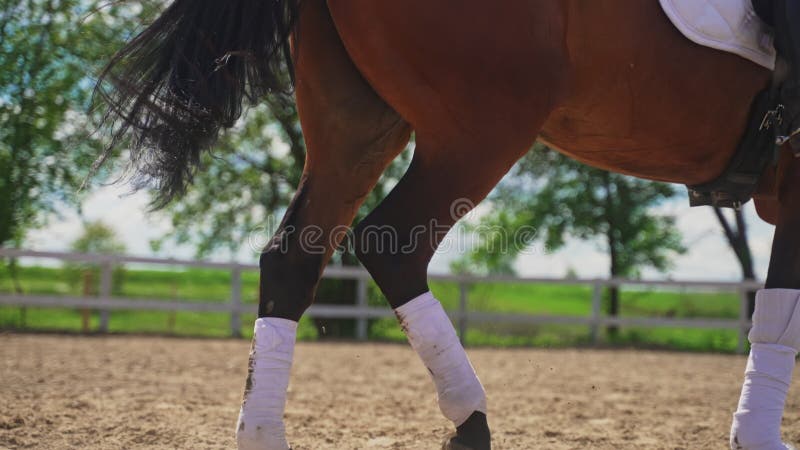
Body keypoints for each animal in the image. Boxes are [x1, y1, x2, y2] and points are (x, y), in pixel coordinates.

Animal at [98, 0, 800, 450]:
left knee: (293, 259)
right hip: (480, 134)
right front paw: (758, 437)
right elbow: (781, 313)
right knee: (394, 246)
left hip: (355, 127)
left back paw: (264, 434)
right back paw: (471, 420)